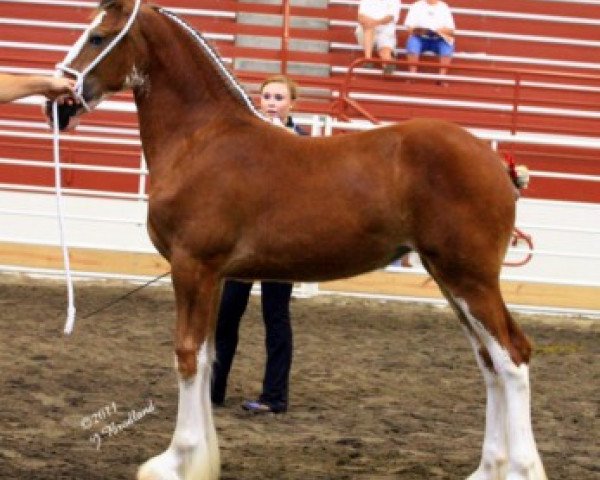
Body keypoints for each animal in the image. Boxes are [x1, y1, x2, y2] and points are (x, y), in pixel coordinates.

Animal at [52, 0, 548, 480]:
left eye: (98, 37)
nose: (57, 107)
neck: (201, 139)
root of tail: (495, 160)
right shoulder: (214, 277)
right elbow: (210, 357)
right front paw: (202, 461)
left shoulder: (192, 267)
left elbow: (188, 356)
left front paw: (177, 461)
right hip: (450, 279)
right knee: (488, 363)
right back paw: (486, 469)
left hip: (470, 278)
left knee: (512, 357)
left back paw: (520, 468)